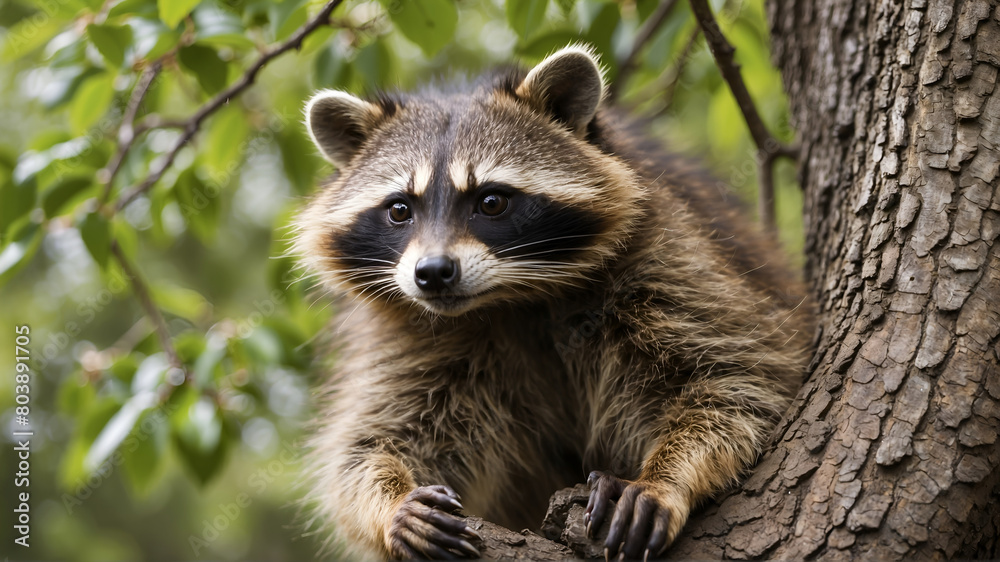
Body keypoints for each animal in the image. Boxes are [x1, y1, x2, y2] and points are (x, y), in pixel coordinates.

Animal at [294, 46, 812, 556]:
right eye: (400, 209)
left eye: (491, 202)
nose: (433, 273)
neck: (510, 299)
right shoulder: (406, 333)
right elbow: (369, 441)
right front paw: (392, 503)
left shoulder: (664, 256)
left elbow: (736, 378)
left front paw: (664, 479)